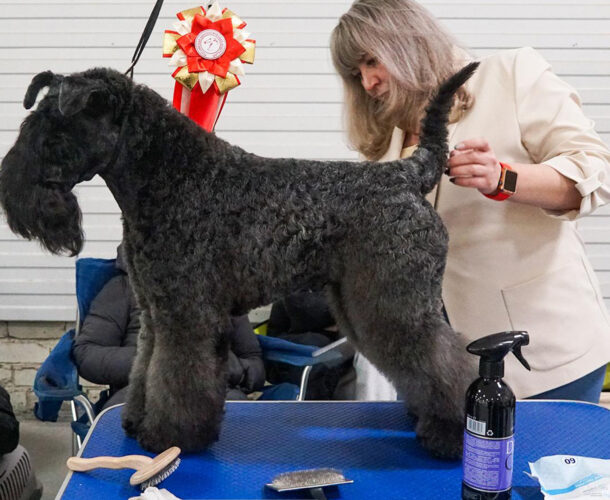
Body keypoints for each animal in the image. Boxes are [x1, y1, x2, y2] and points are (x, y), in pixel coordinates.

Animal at [1, 61, 476, 458]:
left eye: (53, 130)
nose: (12, 190)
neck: (171, 174)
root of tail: (406, 174)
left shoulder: (188, 313)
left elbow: (178, 375)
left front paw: (171, 437)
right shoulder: (156, 311)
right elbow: (145, 369)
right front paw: (136, 420)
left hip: (395, 302)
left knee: (444, 359)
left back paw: (455, 433)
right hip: (365, 302)